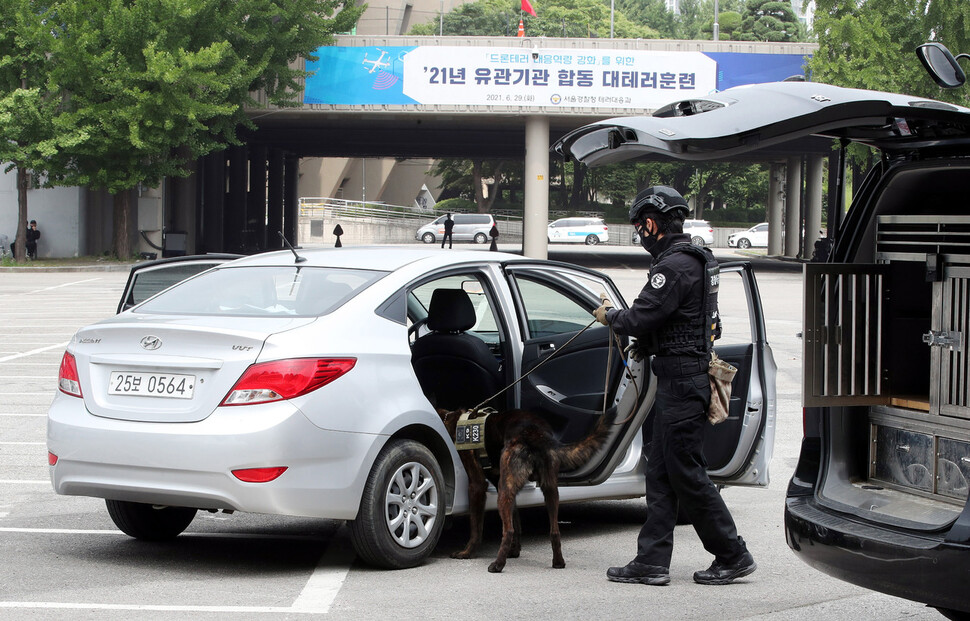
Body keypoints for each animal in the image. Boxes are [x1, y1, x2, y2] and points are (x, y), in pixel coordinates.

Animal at [440, 406, 608, 572]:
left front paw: (467, 553)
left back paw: (498, 564)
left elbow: (476, 527)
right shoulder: (508, 489)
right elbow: (517, 520)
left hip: (505, 491)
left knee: (508, 531)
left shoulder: (477, 486)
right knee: (554, 531)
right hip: (548, 490)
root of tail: (534, 432)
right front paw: (515, 551)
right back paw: (558, 562)